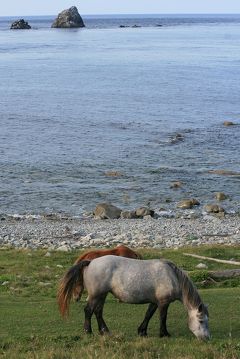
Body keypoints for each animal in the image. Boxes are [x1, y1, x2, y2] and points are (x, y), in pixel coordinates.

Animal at [58, 256, 210, 340]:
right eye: (201, 321)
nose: (207, 338)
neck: (172, 276)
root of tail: (90, 262)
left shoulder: (154, 302)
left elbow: (148, 314)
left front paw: (142, 331)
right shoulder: (163, 302)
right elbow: (162, 317)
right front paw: (164, 333)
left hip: (102, 295)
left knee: (98, 311)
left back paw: (104, 331)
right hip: (96, 295)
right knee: (88, 310)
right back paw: (88, 331)